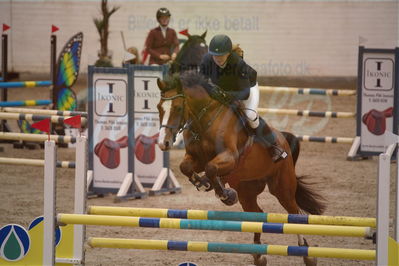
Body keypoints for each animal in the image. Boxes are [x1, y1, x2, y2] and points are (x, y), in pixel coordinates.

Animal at [157, 71, 328, 266]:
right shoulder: (196, 158)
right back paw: (259, 255)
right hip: (247, 190)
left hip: (282, 188)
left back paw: (306, 253)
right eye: (159, 108)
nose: (163, 143)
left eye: (178, 108)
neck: (204, 122)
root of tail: (283, 139)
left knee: (294, 213)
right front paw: (203, 183)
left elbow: (211, 167)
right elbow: (186, 167)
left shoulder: (231, 157)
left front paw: (225, 194)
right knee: (257, 214)